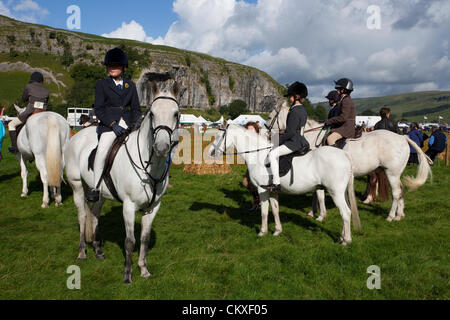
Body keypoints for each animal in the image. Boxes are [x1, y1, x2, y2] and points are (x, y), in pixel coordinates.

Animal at [65, 81, 181, 284]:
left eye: (176, 113)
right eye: (152, 114)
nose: (161, 148)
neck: (149, 166)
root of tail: (77, 135)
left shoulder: (153, 207)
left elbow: (144, 239)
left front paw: (144, 269)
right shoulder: (128, 206)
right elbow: (130, 241)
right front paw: (128, 275)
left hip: (100, 194)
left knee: (94, 214)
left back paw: (98, 250)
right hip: (77, 186)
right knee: (82, 216)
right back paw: (82, 252)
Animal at [209, 123, 360, 245]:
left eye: (219, 136)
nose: (211, 152)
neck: (258, 155)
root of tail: (344, 154)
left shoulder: (262, 190)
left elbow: (264, 212)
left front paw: (262, 232)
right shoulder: (272, 191)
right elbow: (275, 210)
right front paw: (277, 231)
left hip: (335, 192)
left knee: (345, 213)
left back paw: (346, 241)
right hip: (341, 192)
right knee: (346, 212)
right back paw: (341, 237)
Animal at [266, 105, 434, 222]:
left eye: (270, 116)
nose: (267, 131)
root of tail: (402, 137)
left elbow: (319, 196)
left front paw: (320, 215)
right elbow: (315, 193)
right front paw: (312, 212)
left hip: (391, 172)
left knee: (396, 192)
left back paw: (391, 216)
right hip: (393, 173)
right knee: (400, 191)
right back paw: (400, 215)